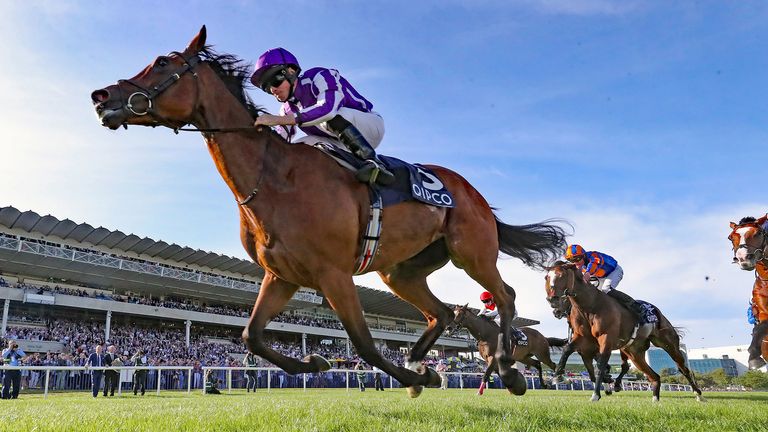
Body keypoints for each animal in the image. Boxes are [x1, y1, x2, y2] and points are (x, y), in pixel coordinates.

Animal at [90, 26, 568, 398]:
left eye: (162, 62)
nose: (101, 95)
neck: (274, 177)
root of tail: (472, 192)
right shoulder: (281, 276)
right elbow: (251, 336)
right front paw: (318, 363)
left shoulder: (333, 273)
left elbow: (365, 344)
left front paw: (419, 377)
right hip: (400, 271)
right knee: (443, 312)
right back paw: (420, 361)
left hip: (471, 251)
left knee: (505, 296)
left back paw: (506, 369)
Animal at [544, 262, 704, 404]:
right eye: (547, 277)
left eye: (561, 275)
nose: (553, 302)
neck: (590, 305)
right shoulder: (583, 341)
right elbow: (567, 350)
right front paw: (558, 376)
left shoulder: (606, 338)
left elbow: (601, 365)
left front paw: (596, 394)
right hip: (634, 353)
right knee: (654, 376)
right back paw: (655, 399)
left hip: (668, 344)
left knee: (682, 368)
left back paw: (699, 395)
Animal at [728, 214, 768, 370]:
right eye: (730, 237)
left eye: (758, 233)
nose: (743, 258)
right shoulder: (762, 310)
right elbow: (759, 328)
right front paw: (754, 358)